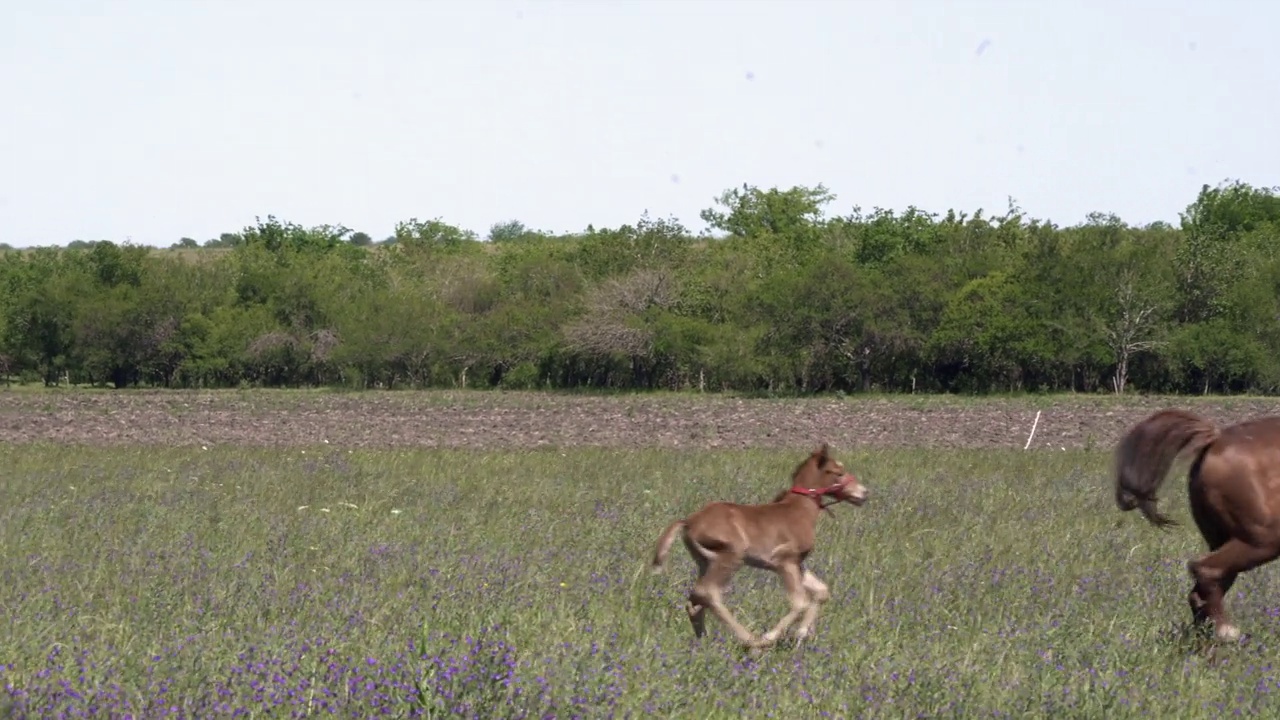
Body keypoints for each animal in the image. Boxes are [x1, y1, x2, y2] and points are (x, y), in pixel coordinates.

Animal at [650, 440, 870, 648]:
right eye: (838, 472)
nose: (863, 493)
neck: (799, 510)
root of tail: (688, 522)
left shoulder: (798, 563)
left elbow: (821, 591)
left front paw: (802, 633)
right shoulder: (784, 560)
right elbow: (800, 602)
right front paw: (770, 637)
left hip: (705, 561)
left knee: (695, 600)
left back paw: (703, 641)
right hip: (731, 555)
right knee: (708, 593)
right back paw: (751, 641)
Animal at [1111, 407, 1280, 635]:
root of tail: (1216, 439)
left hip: (1226, 541)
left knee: (1200, 595)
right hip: (1262, 540)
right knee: (1205, 572)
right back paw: (1227, 631)